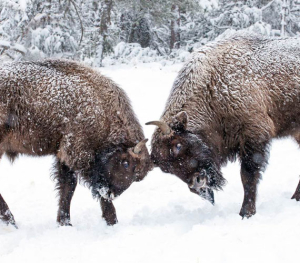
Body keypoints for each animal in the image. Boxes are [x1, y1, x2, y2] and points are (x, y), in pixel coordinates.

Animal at [0, 58, 150, 228]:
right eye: (126, 163)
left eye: (137, 177)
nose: (109, 193)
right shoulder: (77, 153)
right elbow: (74, 185)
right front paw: (112, 221)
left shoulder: (63, 156)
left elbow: (68, 187)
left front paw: (64, 223)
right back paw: (12, 222)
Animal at [146, 33, 300, 219]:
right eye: (165, 168)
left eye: (177, 145)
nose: (197, 183)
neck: (212, 87)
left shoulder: (253, 136)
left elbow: (248, 176)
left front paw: (246, 213)